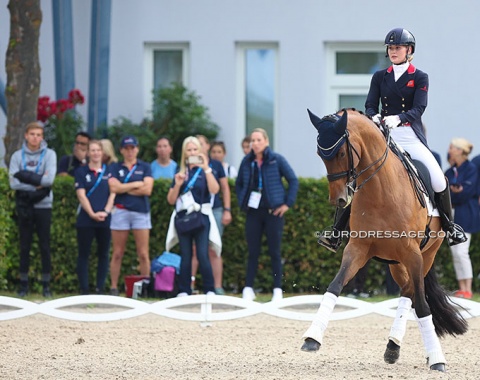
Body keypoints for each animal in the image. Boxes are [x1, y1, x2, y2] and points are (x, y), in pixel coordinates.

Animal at [302, 109, 466, 372]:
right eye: (320, 154)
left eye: (341, 153)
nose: (339, 200)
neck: (381, 191)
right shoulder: (357, 249)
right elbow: (335, 286)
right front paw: (312, 338)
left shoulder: (413, 254)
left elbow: (422, 305)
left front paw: (438, 360)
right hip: (396, 264)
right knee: (407, 292)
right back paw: (393, 347)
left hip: (426, 255)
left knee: (412, 294)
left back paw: (407, 348)